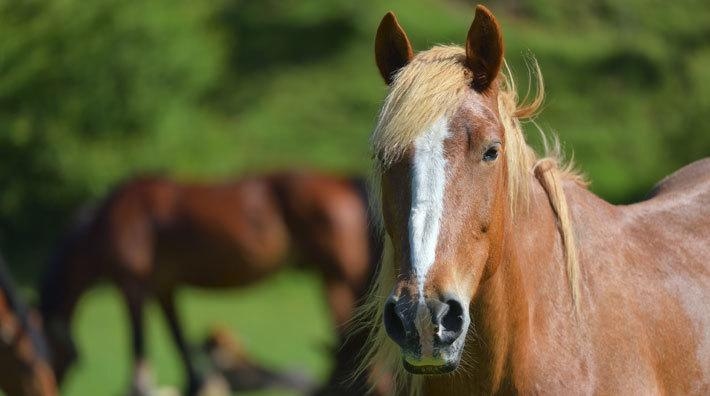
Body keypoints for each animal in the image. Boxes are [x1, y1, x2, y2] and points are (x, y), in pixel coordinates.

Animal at [39, 170, 390, 396]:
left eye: (49, 354)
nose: (48, 387)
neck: (110, 221)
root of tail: (347, 183)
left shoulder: (132, 285)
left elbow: (139, 347)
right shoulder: (164, 287)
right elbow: (180, 342)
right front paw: (194, 385)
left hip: (339, 280)